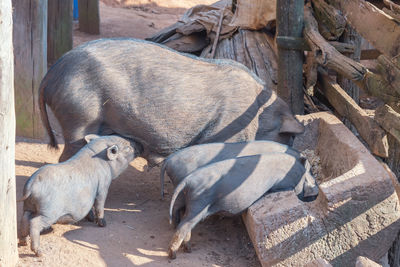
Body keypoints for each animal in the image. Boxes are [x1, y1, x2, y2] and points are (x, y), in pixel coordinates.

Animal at [167, 153, 318, 260]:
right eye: (308, 177)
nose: (314, 194)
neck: (297, 172)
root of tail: (187, 181)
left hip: (190, 202)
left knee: (183, 222)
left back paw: (188, 249)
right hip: (199, 203)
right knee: (183, 226)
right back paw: (173, 255)